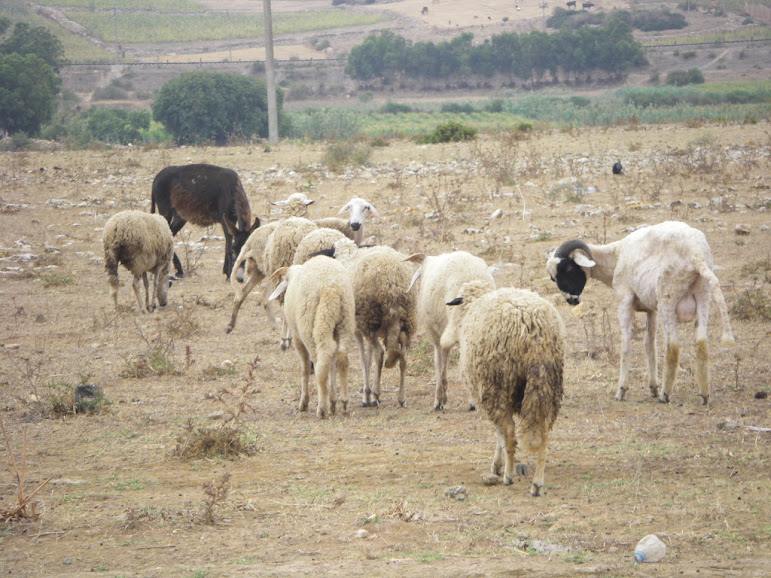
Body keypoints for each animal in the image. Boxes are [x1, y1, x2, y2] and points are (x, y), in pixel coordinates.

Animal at [268, 255, 356, 414]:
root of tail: (330, 287)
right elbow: (333, 364)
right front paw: (333, 401)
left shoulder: (297, 337)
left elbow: (304, 368)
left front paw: (304, 402)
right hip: (345, 319)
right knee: (341, 356)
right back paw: (344, 402)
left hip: (311, 324)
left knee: (320, 359)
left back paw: (321, 407)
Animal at [446, 280, 568, 496]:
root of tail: (531, 326)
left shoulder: (486, 392)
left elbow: (499, 433)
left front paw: (498, 465)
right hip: (547, 385)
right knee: (543, 432)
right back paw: (537, 483)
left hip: (498, 383)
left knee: (509, 431)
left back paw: (509, 476)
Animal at [548, 220, 736, 404]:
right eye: (553, 278)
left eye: (569, 269)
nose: (572, 300)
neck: (616, 256)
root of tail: (696, 254)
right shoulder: (651, 309)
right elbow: (649, 345)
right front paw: (652, 387)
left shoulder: (624, 299)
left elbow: (626, 344)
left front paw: (622, 390)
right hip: (703, 296)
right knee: (702, 342)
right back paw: (704, 394)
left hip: (668, 297)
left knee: (673, 345)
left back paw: (665, 394)